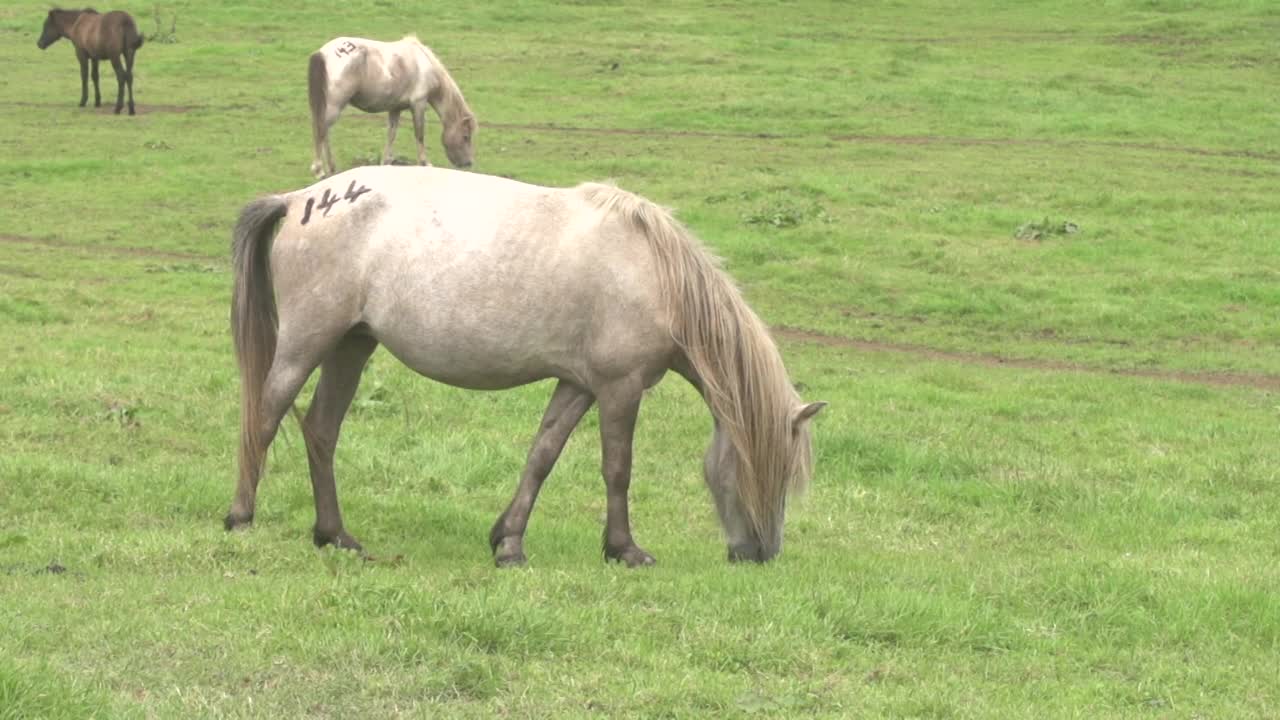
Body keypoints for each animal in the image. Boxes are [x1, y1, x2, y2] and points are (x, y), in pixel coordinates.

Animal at [227, 165, 829, 563]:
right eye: (775, 468)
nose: (761, 552)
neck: (654, 273)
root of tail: (300, 198)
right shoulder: (620, 387)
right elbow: (617, 468)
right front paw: (624, 549)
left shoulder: (577, 385)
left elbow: (542, 456)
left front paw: (508, 542)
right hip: (307, 340)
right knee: (265, 415)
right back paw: (240, 518)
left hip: (351, 345)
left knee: (321, 430)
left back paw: (334, 535)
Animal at [307, 35, 478, 178]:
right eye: (466, 137)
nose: (468, 163)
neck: (423, 62)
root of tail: (323, 53)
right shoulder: (419, 103)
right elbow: (419, 134)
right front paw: (425, 162)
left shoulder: (395, 108)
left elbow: (391, 134)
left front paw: (385, 162)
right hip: (334, 105)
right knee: (321, 129)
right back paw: (319, 169)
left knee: (324, 131)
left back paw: (331, 167)